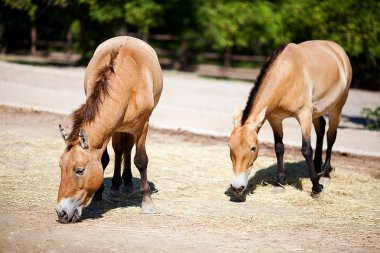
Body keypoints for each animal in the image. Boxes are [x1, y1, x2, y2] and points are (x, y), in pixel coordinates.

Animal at [55, 36, 163, 222]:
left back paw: (127, 184)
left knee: (127, 148)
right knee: (120, 149)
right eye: (61, 167)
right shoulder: (108, 129)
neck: (126, 82)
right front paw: (98, 200)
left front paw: (147, 203)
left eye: (79, 170)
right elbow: (104, 159)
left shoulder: (142, 126)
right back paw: (116, 186)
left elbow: (141, 160)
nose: (61, 212)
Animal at [227, 40, 352, 197]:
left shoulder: (304, 115)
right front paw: (280, 183)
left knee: (331, 137)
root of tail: (338, 49)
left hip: (336, 108)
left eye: (253, 148)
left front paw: (316, 187)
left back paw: (325, 175)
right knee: (321, 128)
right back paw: (318, 166)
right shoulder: (275, 119)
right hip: (316, 112)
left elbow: (306, 149)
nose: (237, 187)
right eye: (229, 146)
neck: (287, 74)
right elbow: (279, 148)